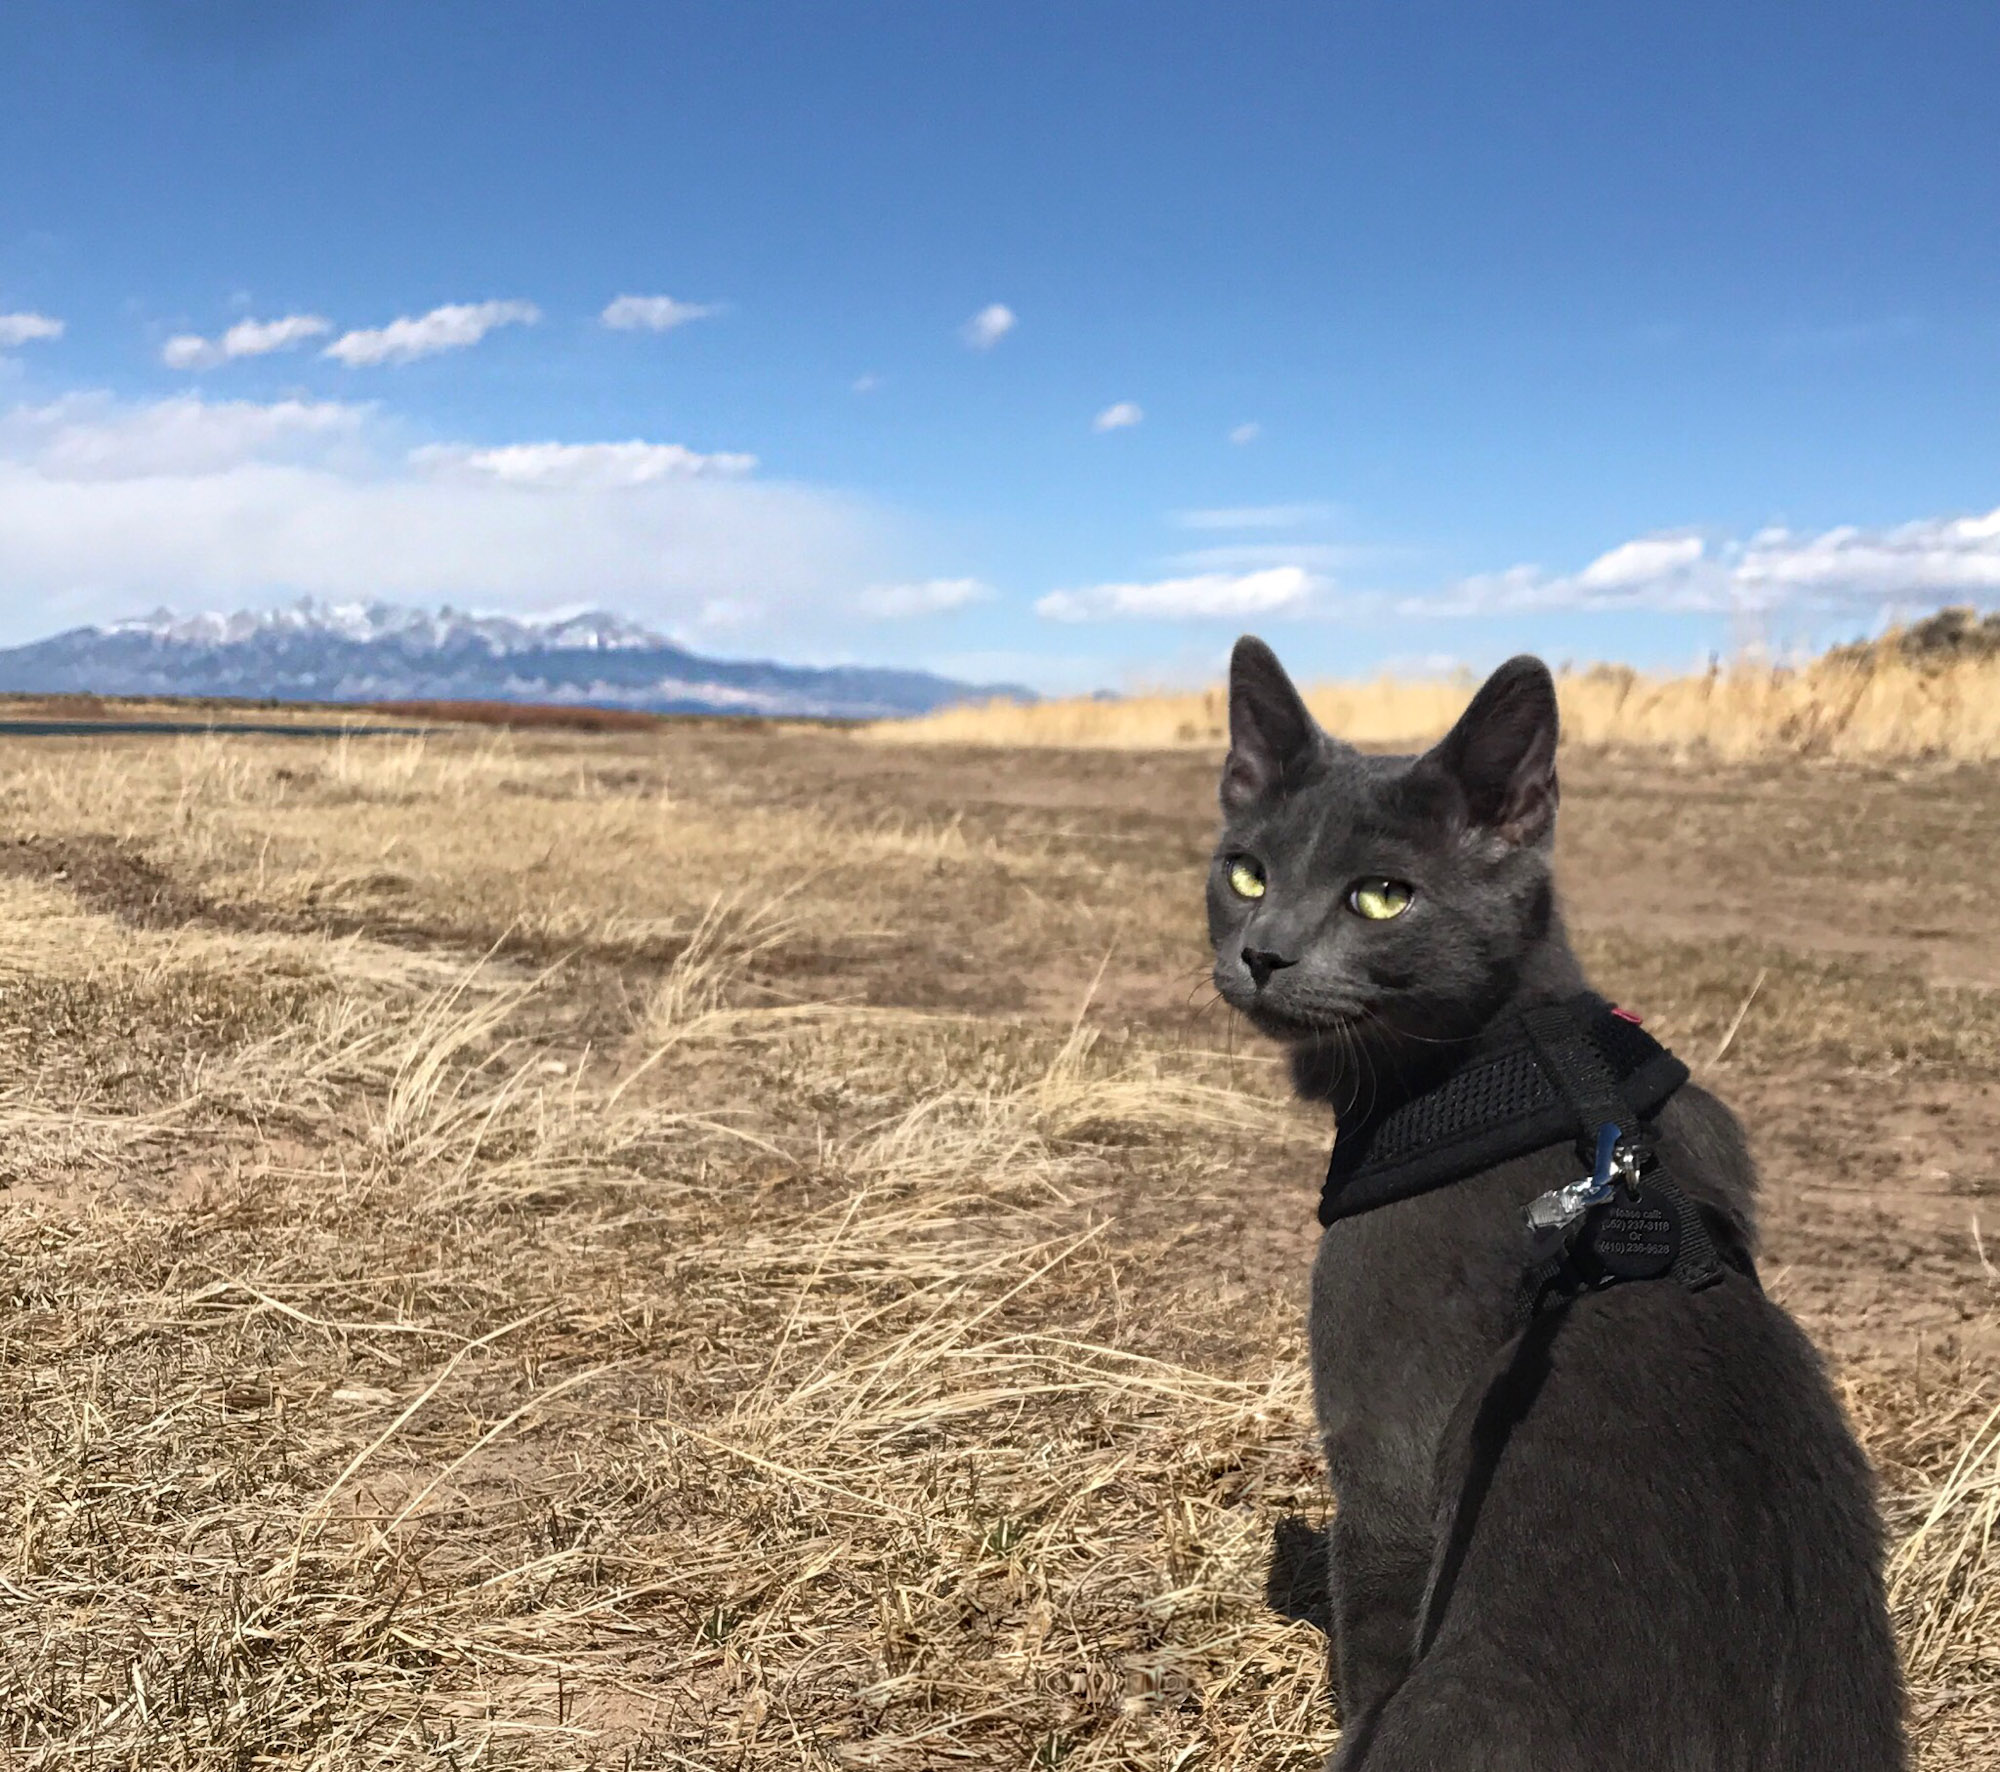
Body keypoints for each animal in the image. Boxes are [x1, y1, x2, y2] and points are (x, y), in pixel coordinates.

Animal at [1200, 640, 1904, 1772]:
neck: (1505, 1057)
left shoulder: (1383, 1436)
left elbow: (1370, 1626)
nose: (1261, 951)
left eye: (1382, 896)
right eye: (1245, 871)